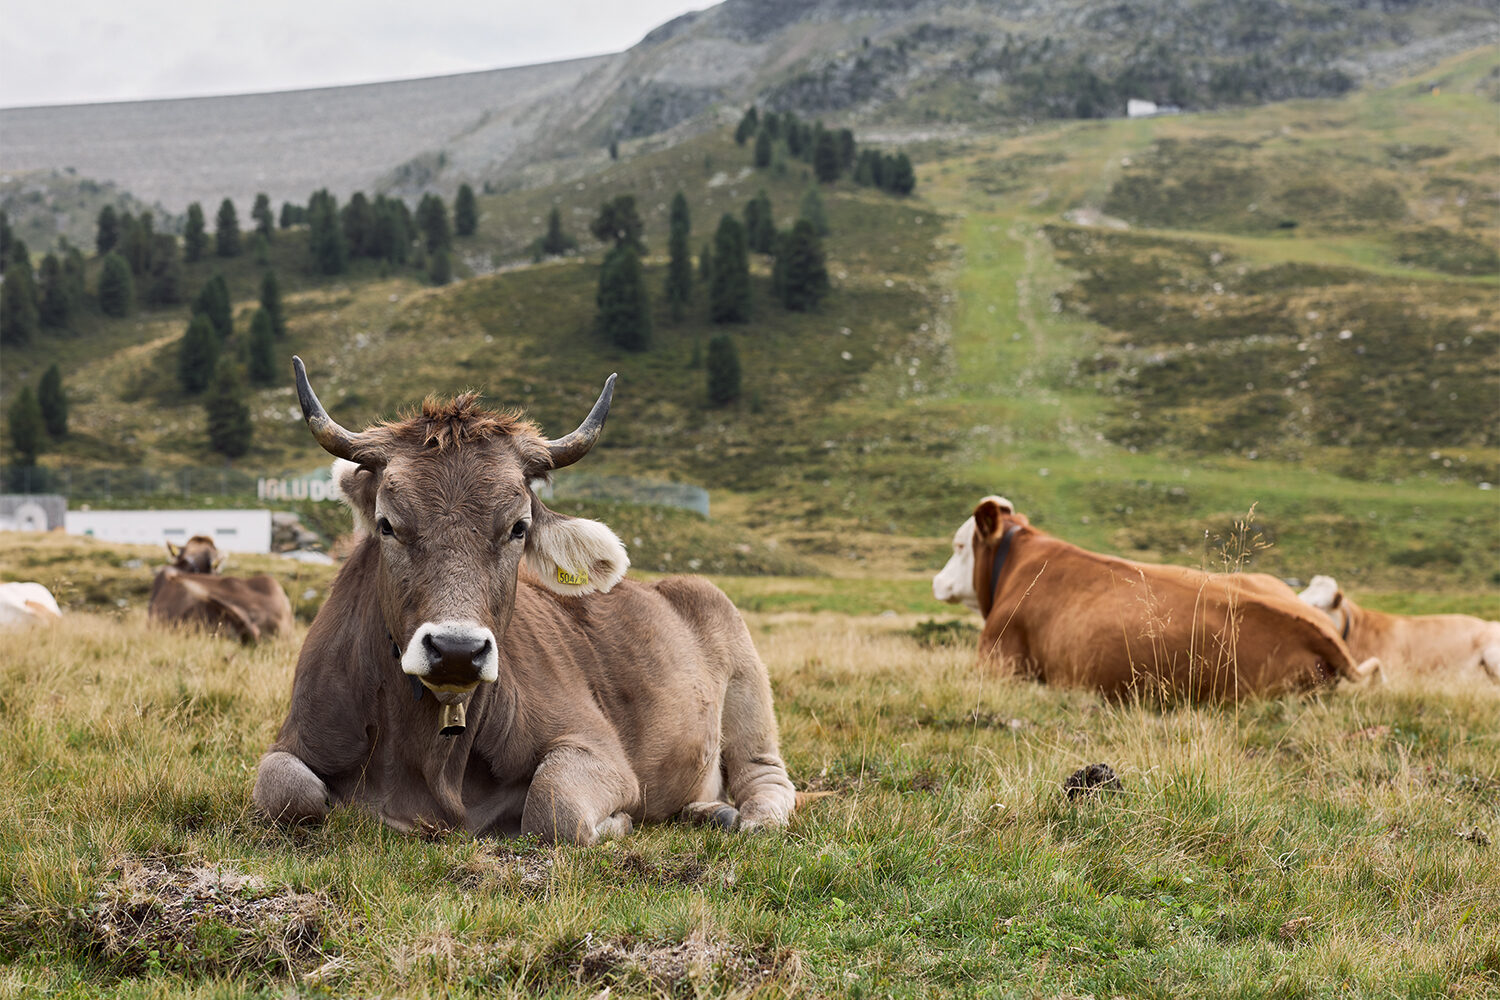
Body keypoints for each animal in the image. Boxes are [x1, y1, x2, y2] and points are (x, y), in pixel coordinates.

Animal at [252, 358, 798, 845]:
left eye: (518, 527)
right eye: (387, 524)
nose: (455, 649)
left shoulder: (598, 749)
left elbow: (553, 806)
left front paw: (618, 823)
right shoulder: (296, 737)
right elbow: (282, 788)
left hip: (747, 688)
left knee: (766, 778)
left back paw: (738, 817)